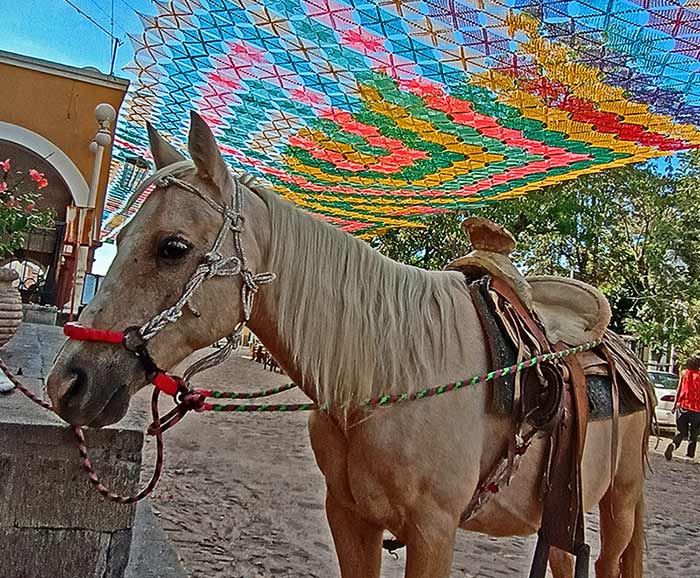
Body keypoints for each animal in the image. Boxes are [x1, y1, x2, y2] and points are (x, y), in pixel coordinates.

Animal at [47, 112, 652, 576]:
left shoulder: (434, 532)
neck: (392, 374)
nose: (67, 382)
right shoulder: (349, 517)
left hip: (620, 501)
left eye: (172, 246)